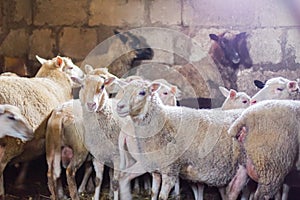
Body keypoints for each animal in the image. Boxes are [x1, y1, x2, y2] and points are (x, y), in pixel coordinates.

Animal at [0, 54, 84, 197]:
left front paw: (20, 182)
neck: (55, 82)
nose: (84, 75)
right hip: (13, 141)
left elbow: (29, 160)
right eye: (71, 67)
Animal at [115, 80, 246, 200]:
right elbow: (153, 193)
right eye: (123, 91)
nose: (119, 106)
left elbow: (162, 197)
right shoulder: (155, 168)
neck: (163, 120)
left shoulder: (170, 169)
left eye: (142, 92)